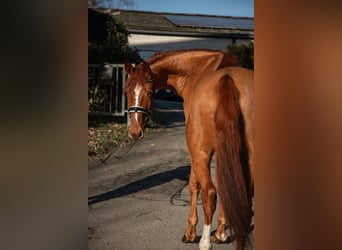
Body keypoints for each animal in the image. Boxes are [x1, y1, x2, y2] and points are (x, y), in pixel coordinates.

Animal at [124, 48, 252, 250]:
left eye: (150, 92)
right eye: (126, 91)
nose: (135, 132)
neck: (196, 69)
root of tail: (227, 80)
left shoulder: (196, 152)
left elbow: (194, 185)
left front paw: (190, 232)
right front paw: (221, 233)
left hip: (200, 153)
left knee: (209, 192)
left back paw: (204, 242)